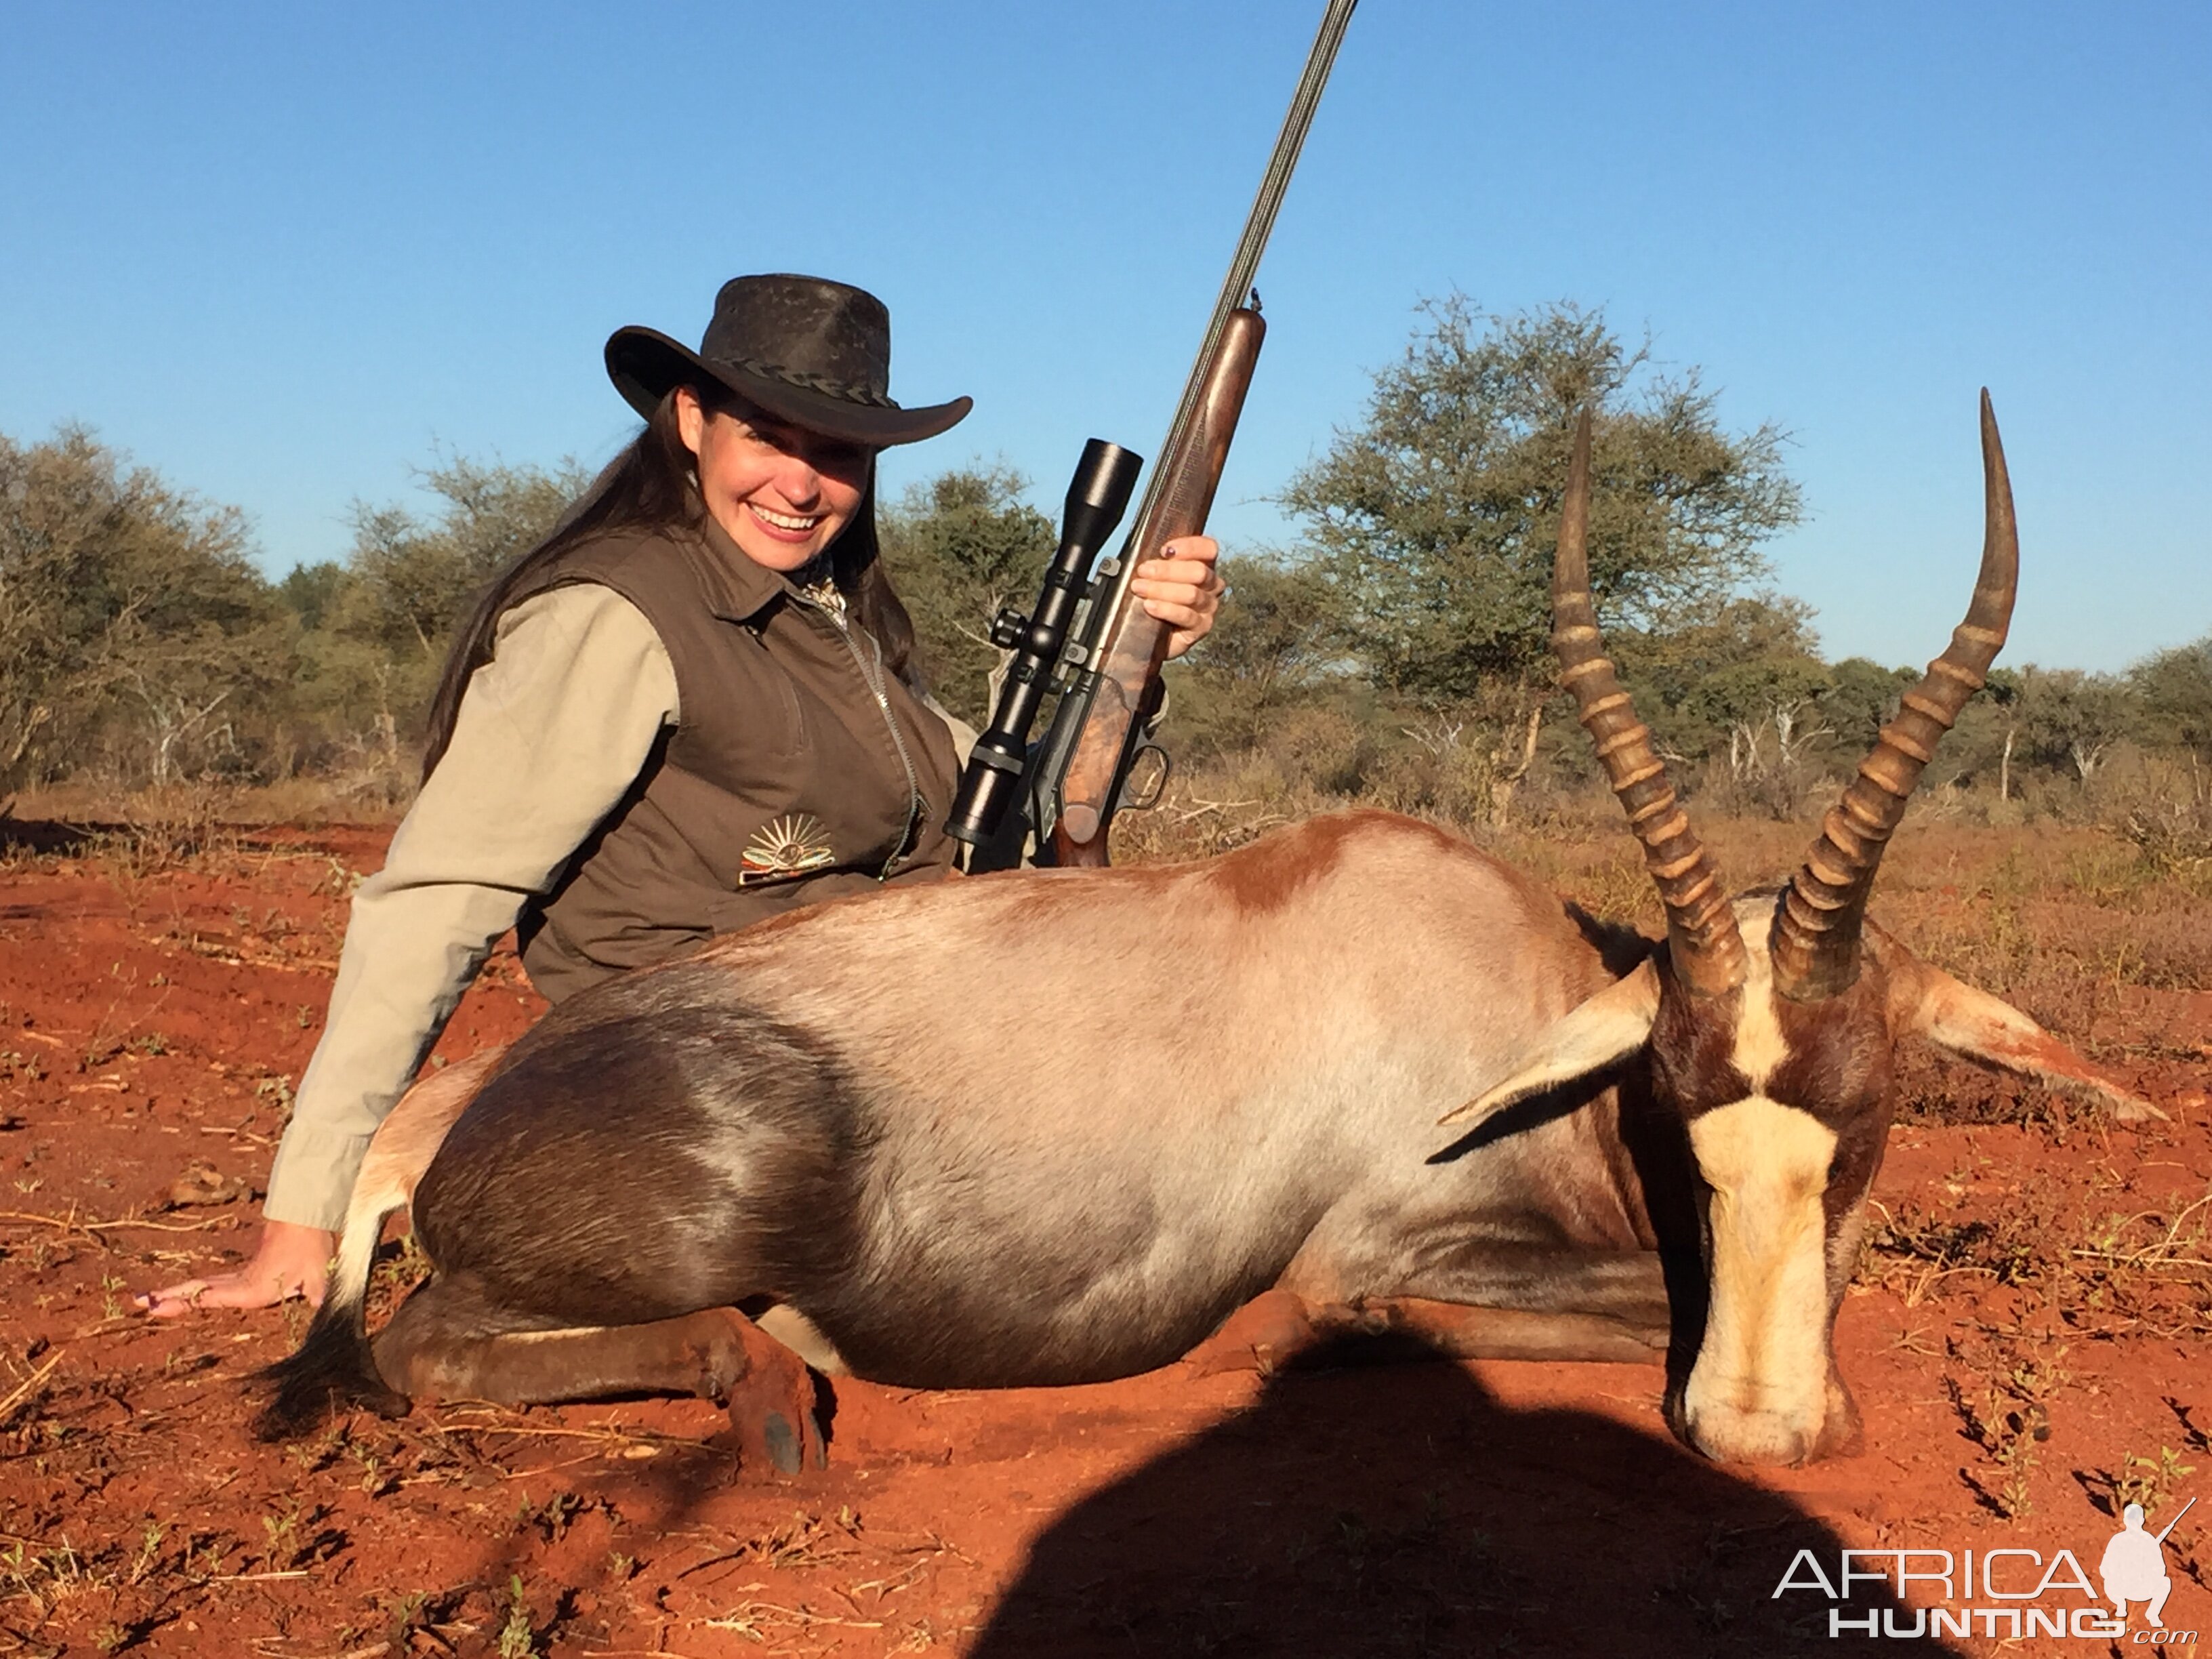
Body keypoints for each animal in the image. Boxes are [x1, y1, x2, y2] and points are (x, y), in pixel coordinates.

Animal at [258, 396, 2141, 1477]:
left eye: (1874, 1106)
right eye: (1676, 1102)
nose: (1756, 1431)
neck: (1503, 976)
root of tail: (433, 1129)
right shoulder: (1379, 1253)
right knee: (427, 1346)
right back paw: (772, 1387)